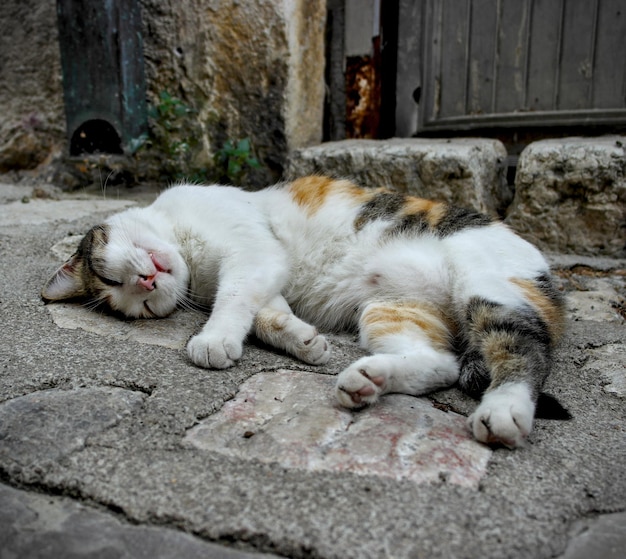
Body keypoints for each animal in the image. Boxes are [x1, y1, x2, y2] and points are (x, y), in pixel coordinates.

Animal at [41, 177, 564, 448]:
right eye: (141, 305)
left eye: (110, 277)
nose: (146, 282)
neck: (190, 253)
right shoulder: (262, 273)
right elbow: (264, 314)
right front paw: (303, 341)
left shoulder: (250, 253)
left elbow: (234, 299)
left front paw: (213, 339)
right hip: (393, 310)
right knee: (442, 365)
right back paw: (367, 379)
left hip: (488, 289)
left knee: (525, 352)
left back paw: (503, 410)